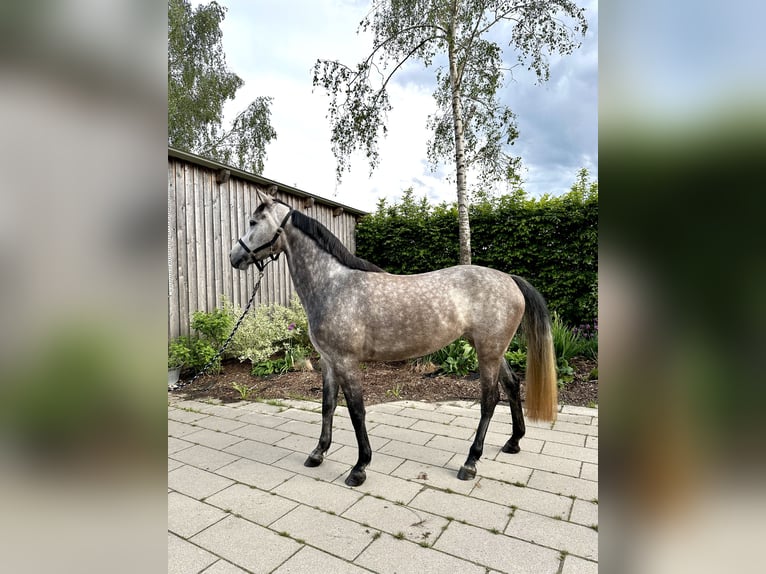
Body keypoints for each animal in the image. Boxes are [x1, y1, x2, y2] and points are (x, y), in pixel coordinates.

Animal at [230, 188, 560, 486]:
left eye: (253, 222)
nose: (235, 257)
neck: (333, 285)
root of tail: (510, 280)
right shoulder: (328, 361)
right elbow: (327, 405)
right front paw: (318, 453)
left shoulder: (346, 362)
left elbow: (356, 411)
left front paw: (360, 467)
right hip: (492, 349)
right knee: (512, 385)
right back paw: (513, 442)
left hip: (488, 352)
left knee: (489, 400)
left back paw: (470, 463)